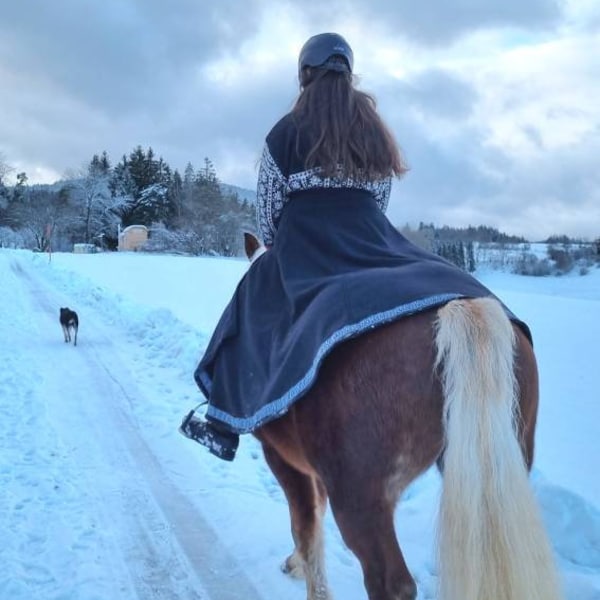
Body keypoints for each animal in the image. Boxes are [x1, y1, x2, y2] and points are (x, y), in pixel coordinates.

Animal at [243, 233, 564, 600]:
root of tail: (459, 310)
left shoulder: (283, 459)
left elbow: (304, 527)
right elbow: (313, 518)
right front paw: (295, 562)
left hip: (360, 499)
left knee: (391, 583)